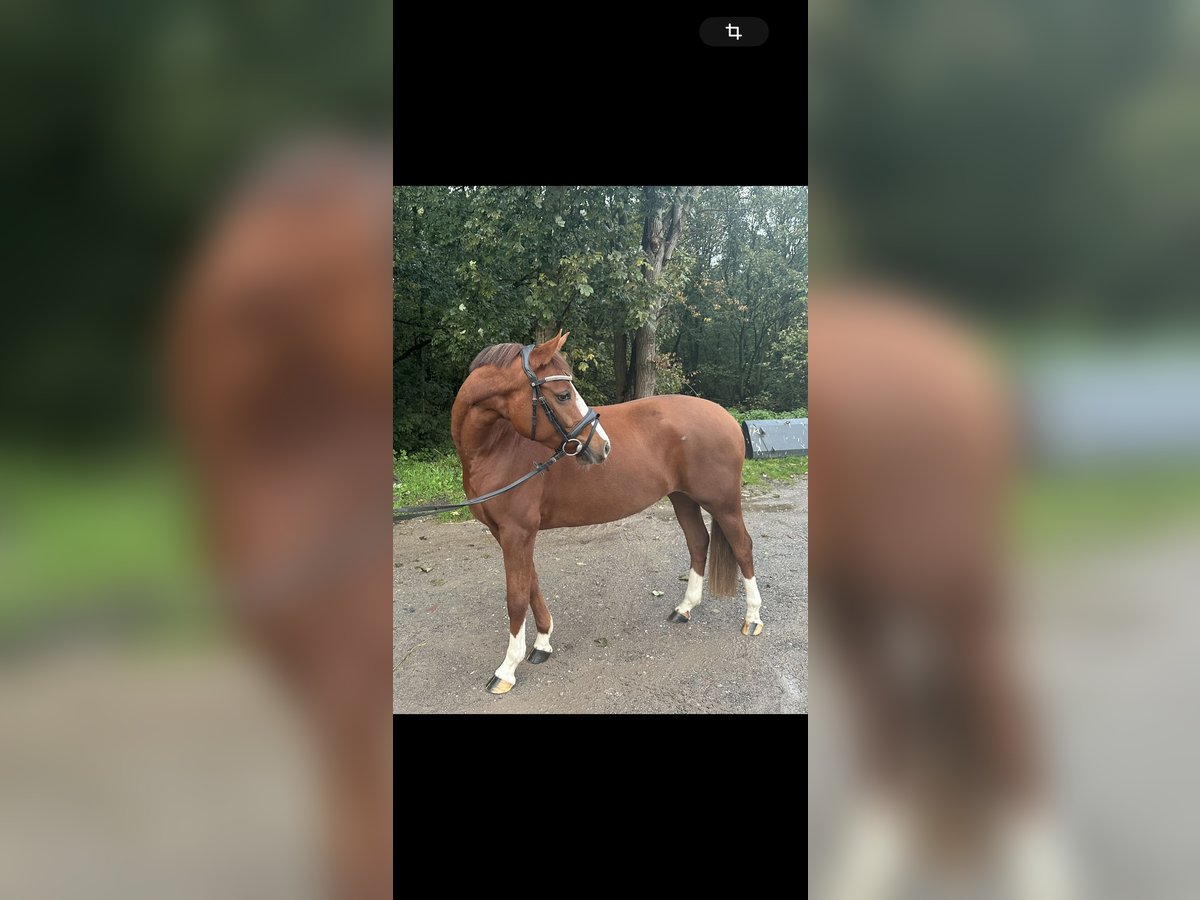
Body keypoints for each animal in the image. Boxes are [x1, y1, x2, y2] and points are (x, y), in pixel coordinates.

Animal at [451, 336, 758, 696]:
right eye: (563, 394)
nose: (603, 446)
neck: (499, 447)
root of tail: (725, 417)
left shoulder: (517, 532)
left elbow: (516, 597)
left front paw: (507, 670)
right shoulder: (507, 534)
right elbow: (531, 586)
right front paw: (542, 643)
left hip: (723, 503)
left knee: (742, 547)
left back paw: (753, 619)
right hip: (682, 498)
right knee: (698, 542)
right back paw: (684, 610)